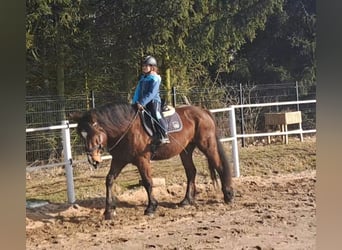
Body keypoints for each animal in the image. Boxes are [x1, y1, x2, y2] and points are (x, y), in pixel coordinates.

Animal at [71, 102, 234, 220]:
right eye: (81, 136)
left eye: (93, 134)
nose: (92, 159)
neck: (126, 129)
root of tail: (203, 111)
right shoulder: (119, 160)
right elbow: (109, 180)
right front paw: (108, 211)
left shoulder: (142, 159)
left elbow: (147, 182)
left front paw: (151, 207)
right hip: (186, 150)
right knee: (191, 172)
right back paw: (186, 200)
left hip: (207, 145)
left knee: (219, 166)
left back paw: (228, 195)